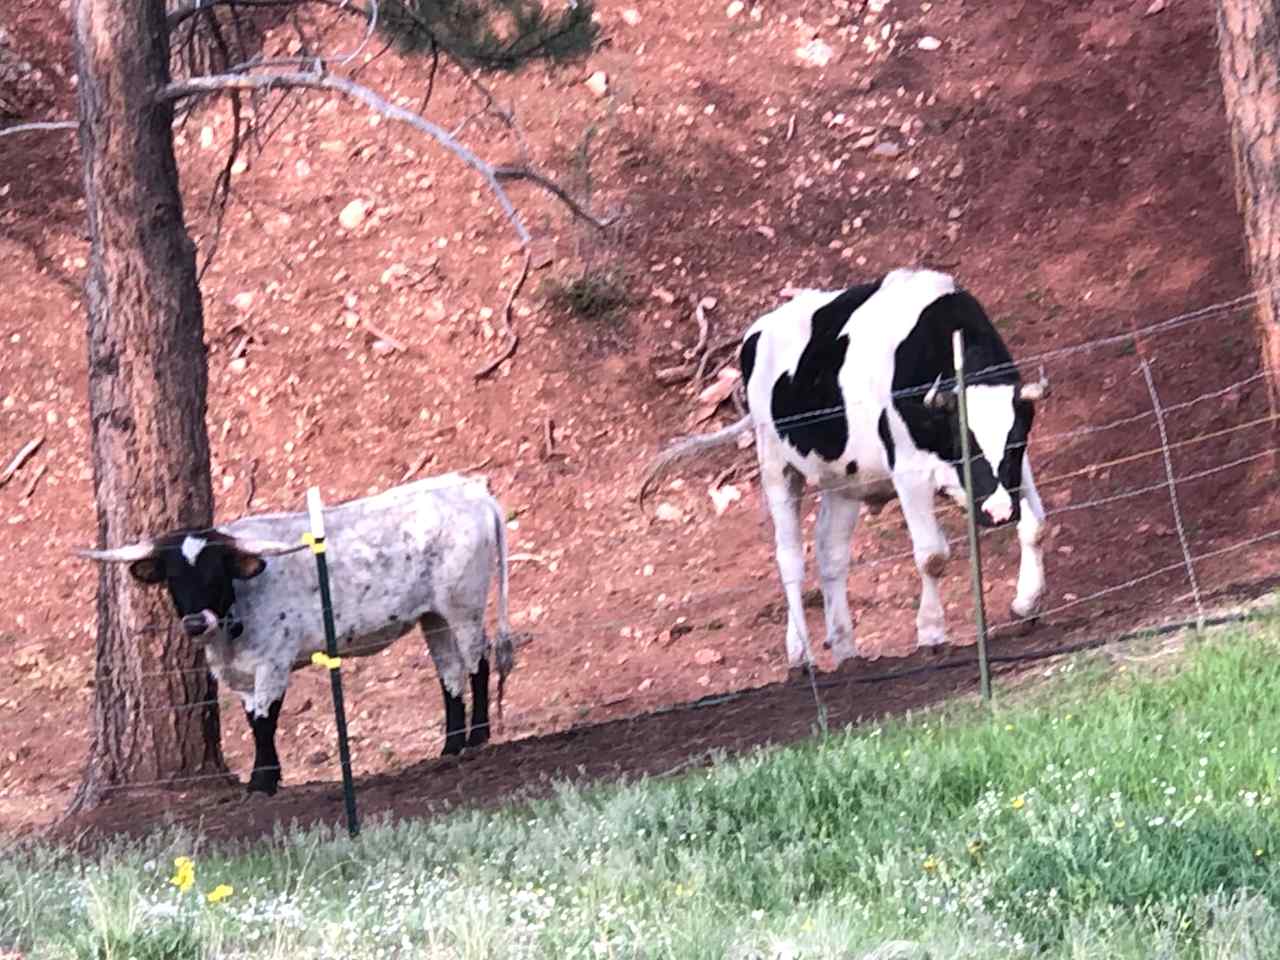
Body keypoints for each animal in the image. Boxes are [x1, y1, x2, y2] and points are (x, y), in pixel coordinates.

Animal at [76, 473, 509, 798]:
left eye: (215, 572)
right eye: (173, 579)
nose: (196, 622)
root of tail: (472, 491)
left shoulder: (272, 663)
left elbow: (265, 721)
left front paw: (262, 782)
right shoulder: (242, 677)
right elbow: (253, 720)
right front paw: (266, 777)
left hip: (464, 605)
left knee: (478, 663)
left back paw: (477, 737)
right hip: (434, 616)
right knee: (450, 674)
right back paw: (451, 746)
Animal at [640, 267, 1049, 670]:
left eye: (1014, 444)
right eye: (967, 446)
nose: (999, 512)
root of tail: (758, 330)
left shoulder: (1017, 467)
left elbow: (1036, 526)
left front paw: (1025, 603)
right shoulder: (909, 471)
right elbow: (932, 556)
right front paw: (932, 634)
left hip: (844, 481)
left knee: (830, 551)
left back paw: (844, 646)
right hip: (775, 464)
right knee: (790, 559)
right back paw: (800, 654)